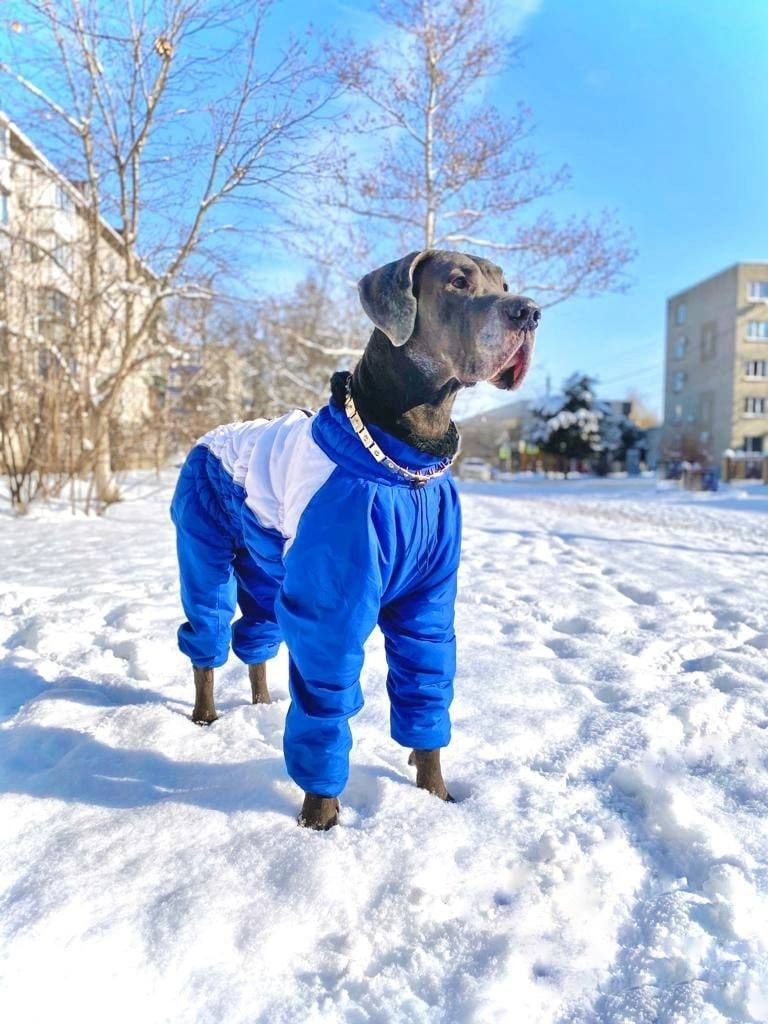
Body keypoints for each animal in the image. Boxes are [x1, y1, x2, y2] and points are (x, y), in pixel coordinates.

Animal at [170, 249, 539, 829]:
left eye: (504, 284)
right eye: (458, 282)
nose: (529, 312)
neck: (406, 468)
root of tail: (209, 434)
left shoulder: (428, 601)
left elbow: (425, 687)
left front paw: (436, 796)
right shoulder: (333, 606)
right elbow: (326, 701)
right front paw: (319, 821)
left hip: (263, 566)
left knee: (253, 631)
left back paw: (261, 702)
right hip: (201, 547)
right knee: (205, 630)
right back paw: (206, 715)